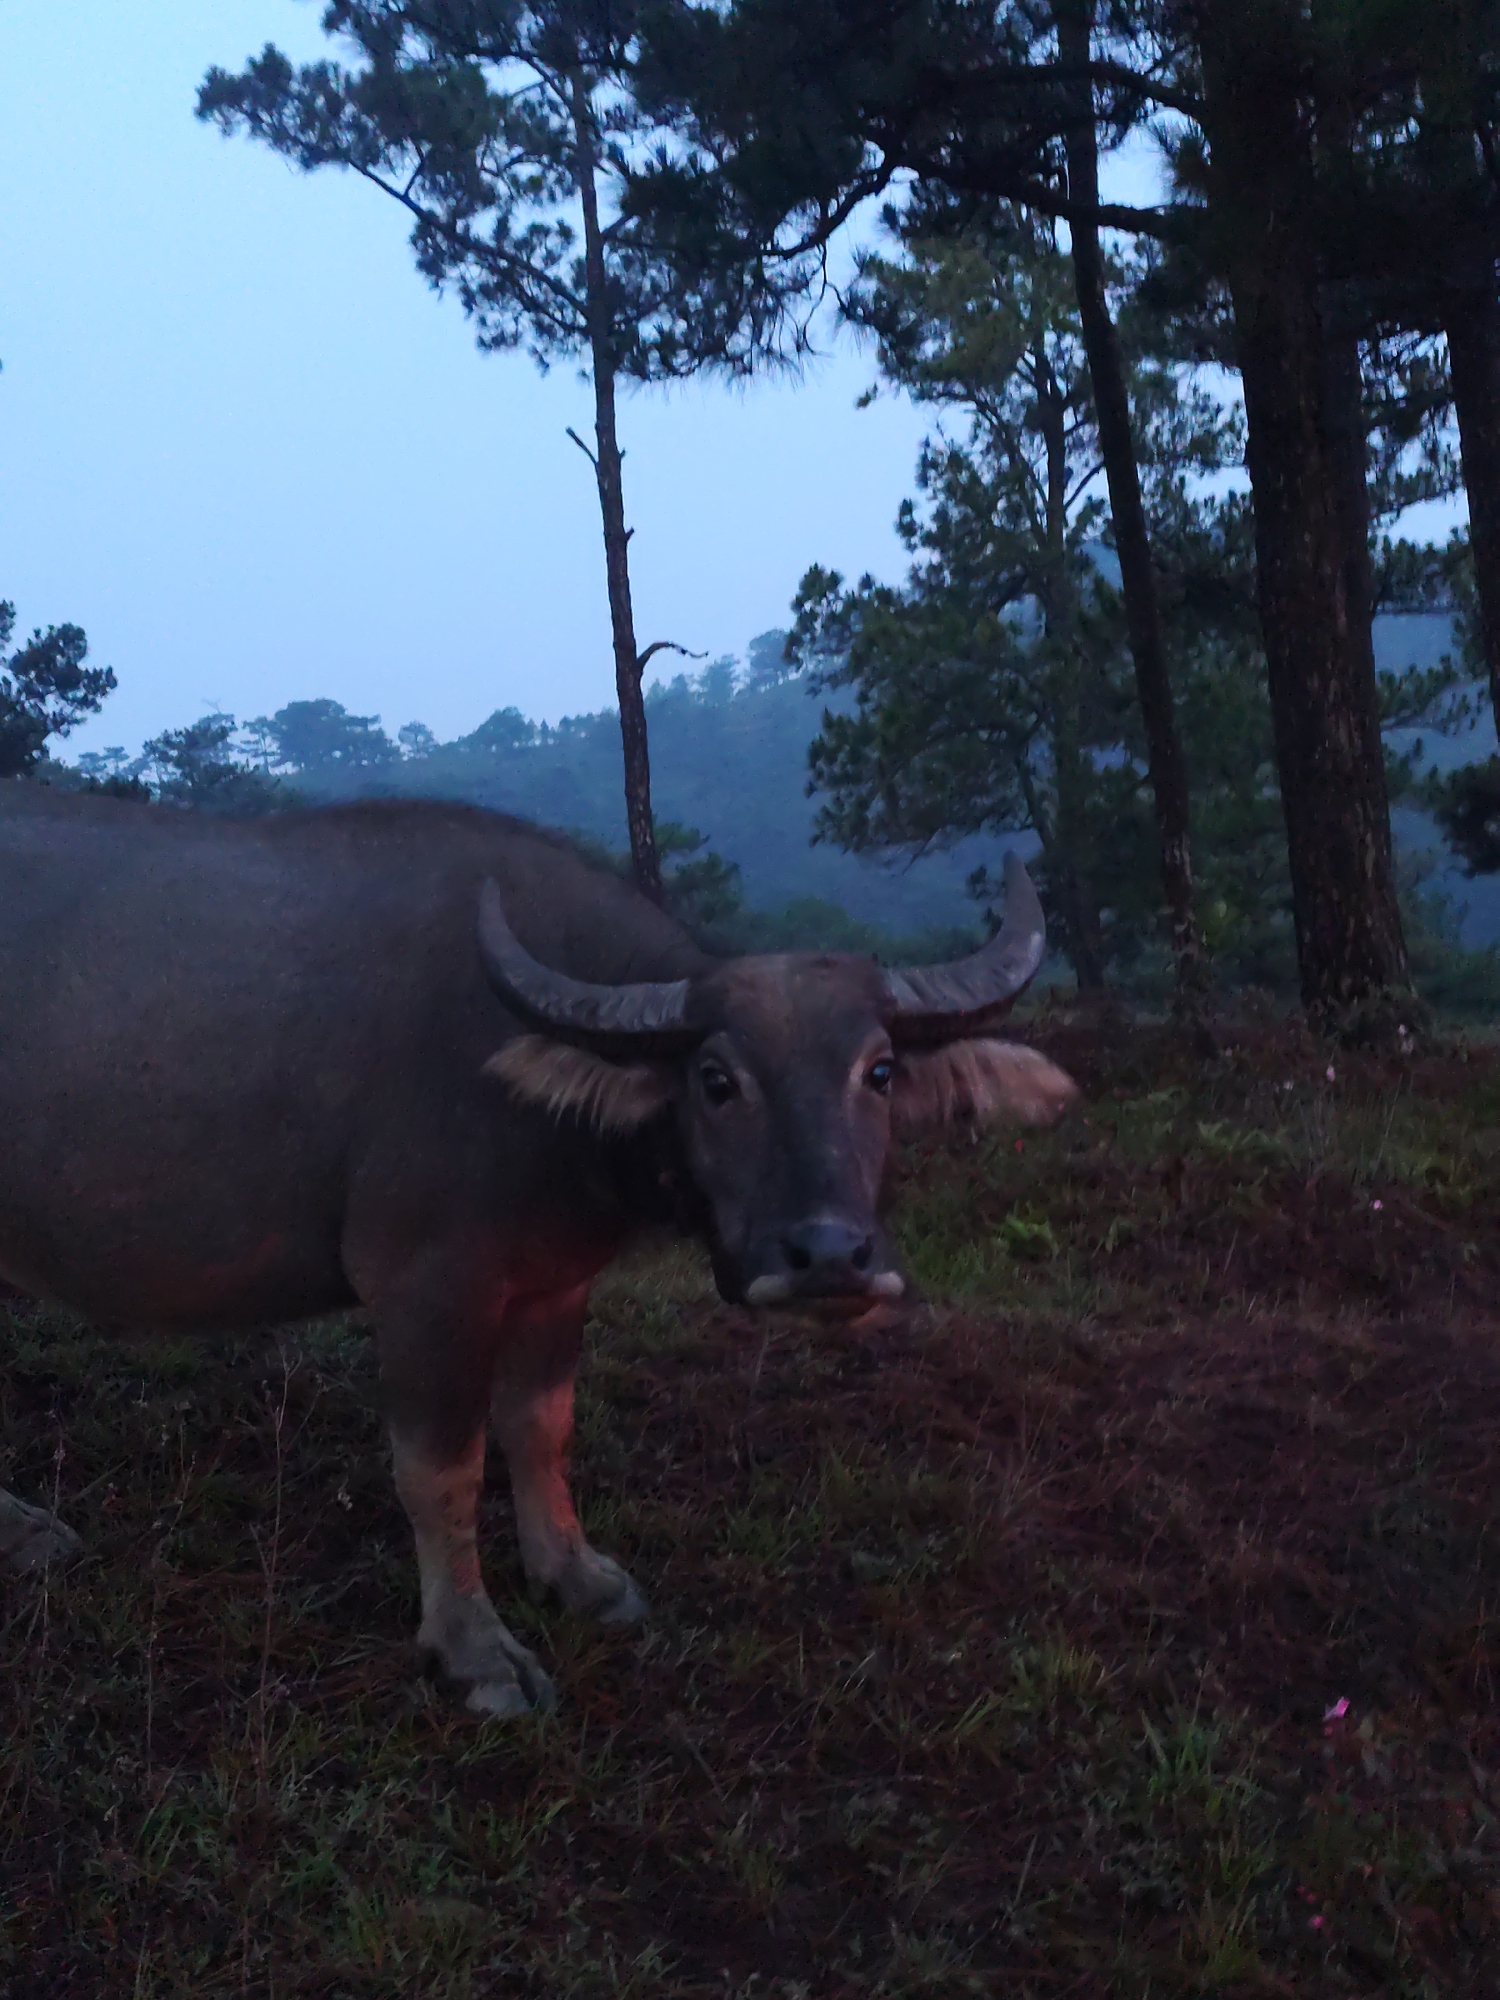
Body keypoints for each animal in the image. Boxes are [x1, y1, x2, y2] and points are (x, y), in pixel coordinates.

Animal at [0, 784, 1076, 1716]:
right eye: (717, 1079)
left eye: (880, 1070)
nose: (830, 1257)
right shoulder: (428, 1289)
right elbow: (439, 1468)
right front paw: (474, 1651)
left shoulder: (555, 1284)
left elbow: (540, 1427)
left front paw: (575, 1573)